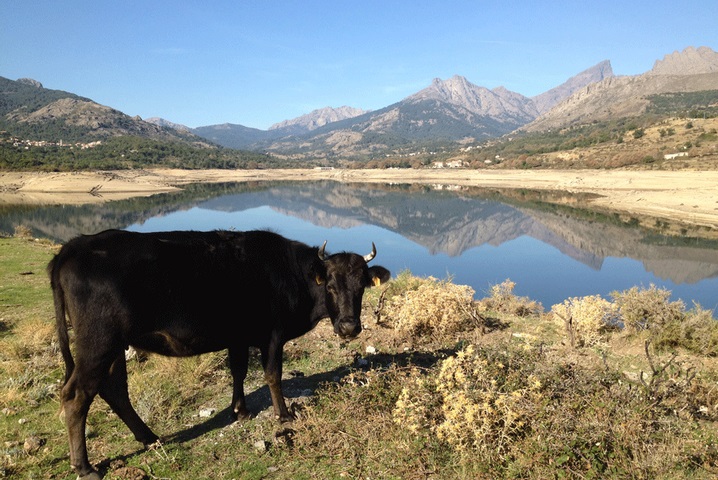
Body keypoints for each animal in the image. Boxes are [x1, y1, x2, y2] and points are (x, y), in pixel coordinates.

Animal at [47, 230, 390, 480]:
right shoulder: (272, 335)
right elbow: (272, 374)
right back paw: (85, 467)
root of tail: (76, 246)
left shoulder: (238, 337)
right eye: (330, 285)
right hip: (98, 343)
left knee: (114, 389)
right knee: (76, 395)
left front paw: (241, 410)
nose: (349, 326)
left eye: (361, 286)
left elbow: (238, 371)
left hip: (115, 346)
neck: (290, 272)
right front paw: (283, 415)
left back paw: (149, 437)